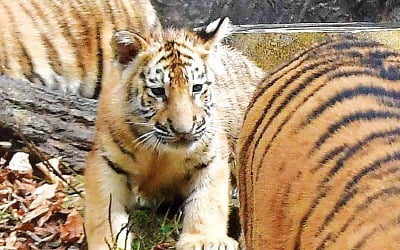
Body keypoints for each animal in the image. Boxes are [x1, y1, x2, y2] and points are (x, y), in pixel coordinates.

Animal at [84, 18, 264, 250]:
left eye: (196, 88)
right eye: (158, 91)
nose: (183, 131)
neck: (160, 154)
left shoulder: (212, 156)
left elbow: (207, 200)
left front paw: (205, 240)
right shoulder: (105, 161)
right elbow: (103, 211)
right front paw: (108, 242)